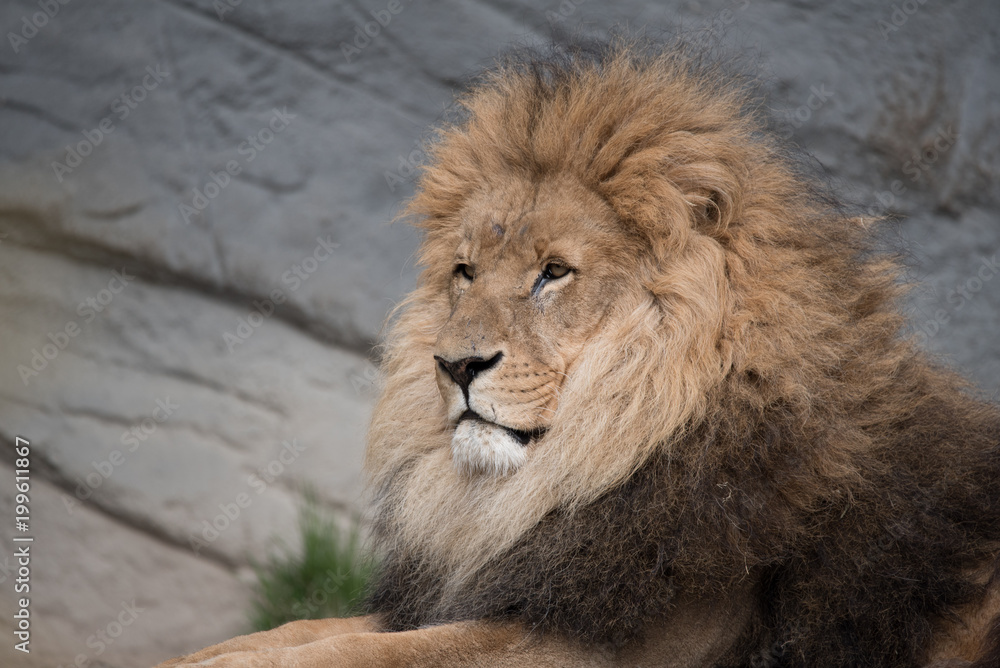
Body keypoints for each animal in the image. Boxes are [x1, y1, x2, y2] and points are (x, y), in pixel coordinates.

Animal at [158, 38, 1000, 668]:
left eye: (553, 273)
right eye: (465, 271)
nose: (455, 366)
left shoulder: (615, 644)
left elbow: (364, 654)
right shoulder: (509, 588)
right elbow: (296, 633)